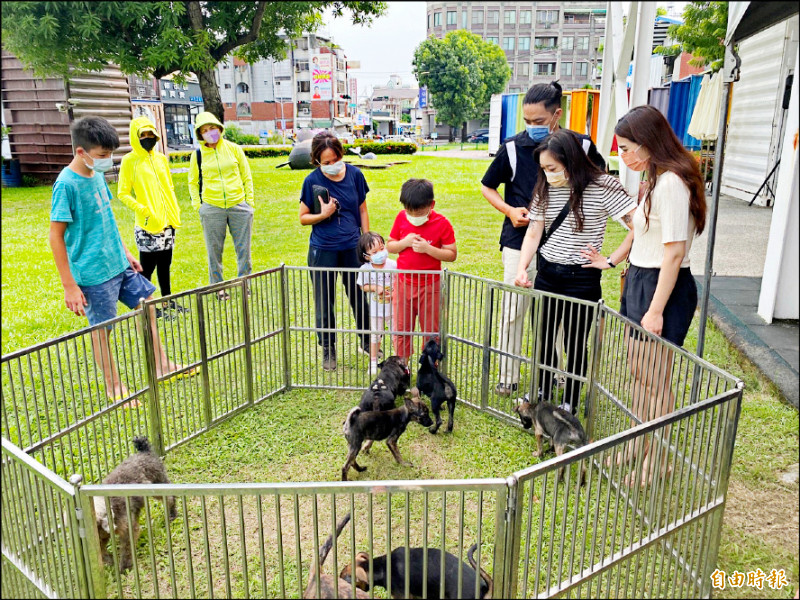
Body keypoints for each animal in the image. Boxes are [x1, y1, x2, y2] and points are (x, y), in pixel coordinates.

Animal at [92, 436, 177, 572]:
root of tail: (144, 451)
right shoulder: (103, 536)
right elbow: (102, 551)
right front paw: (109, 560)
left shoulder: (128, 529)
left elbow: (127, 549)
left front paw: (125, 566)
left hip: (156, 485)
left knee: (169, 497)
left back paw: (172, 513)